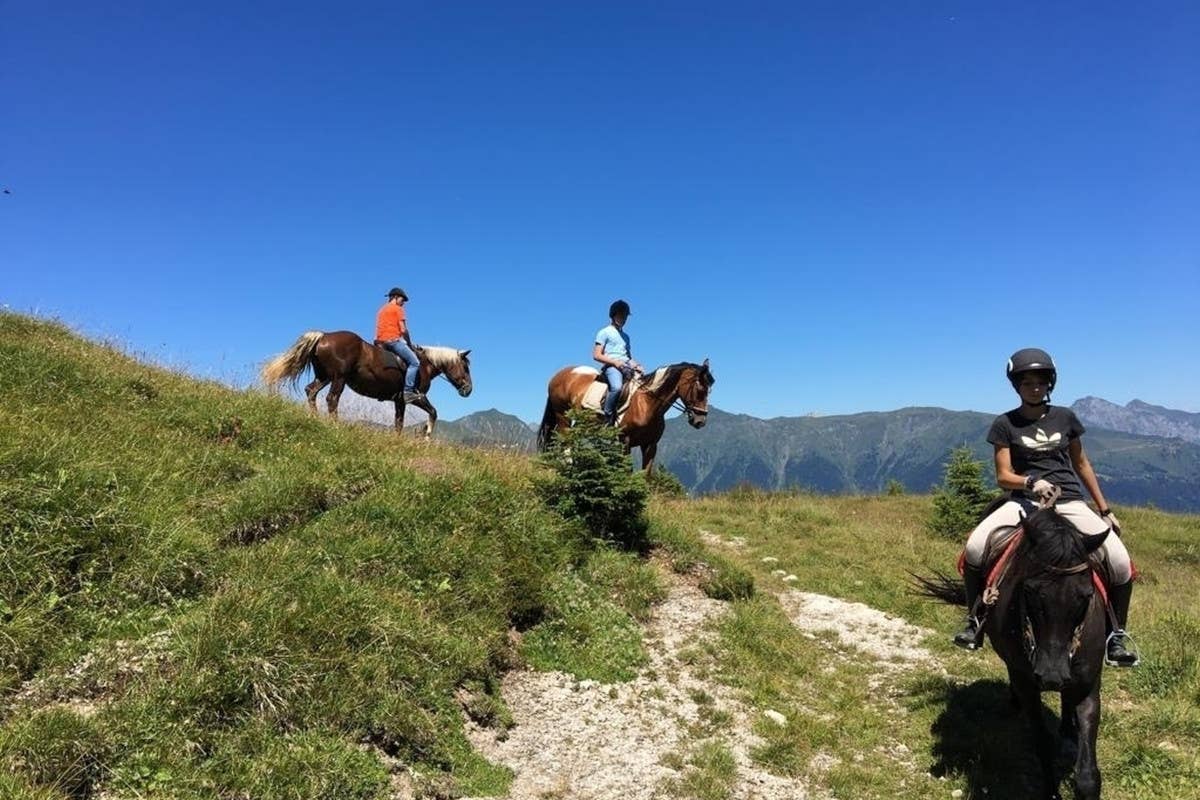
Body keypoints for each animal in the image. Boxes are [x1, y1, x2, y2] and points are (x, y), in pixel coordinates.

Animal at [265, 328, 470, 434]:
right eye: (466, 367)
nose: (468, 390)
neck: (424, 365)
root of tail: (324, 335)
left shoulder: (399, 401)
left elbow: (399, 423)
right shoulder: (415, 396)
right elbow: (433, 412)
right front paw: (426, 435)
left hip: (324, 376)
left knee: (311, 391)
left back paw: (315, 418)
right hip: (338, 378)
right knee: (332, 399)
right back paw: (335, 425)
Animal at [535, 359, 710, 472]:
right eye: (700, 389)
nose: (700, 421)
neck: (646, 404)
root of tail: (558, 375)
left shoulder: (650, 445)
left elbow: (645, 475)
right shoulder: (625, 441)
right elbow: (627, 471)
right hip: (562, 415)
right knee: (565, 441)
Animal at [916, 510, 1113, 796]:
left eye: (1086, 595)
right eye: (1029, 591)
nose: (1052, 676)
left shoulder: (1087, 683)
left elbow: (1087, 773)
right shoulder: (1027, 682)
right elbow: (1041, 742)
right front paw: (1051, 790)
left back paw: (1067, 732)